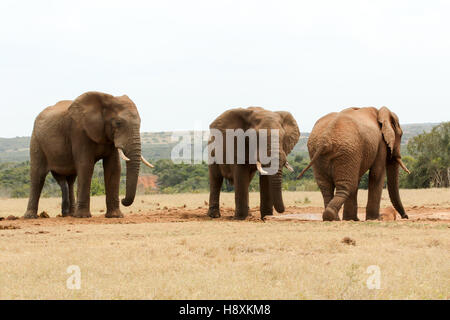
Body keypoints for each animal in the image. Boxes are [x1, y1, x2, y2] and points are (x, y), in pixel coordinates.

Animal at [23, 91, 154, 219]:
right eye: (118, 123)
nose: (123, 200)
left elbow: (114, 167)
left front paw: (115, 216)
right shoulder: (79, 132)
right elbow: (86, 165)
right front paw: (83, 216)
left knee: (70, 180)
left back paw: (70, 214)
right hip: (36, 140)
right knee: (38, 175)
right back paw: (31, 217)